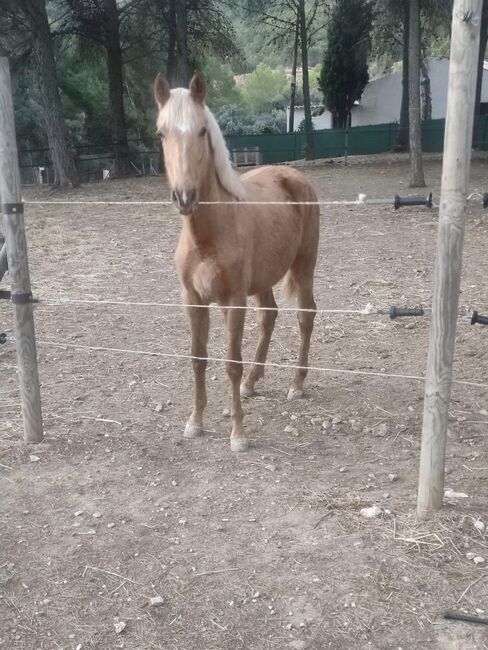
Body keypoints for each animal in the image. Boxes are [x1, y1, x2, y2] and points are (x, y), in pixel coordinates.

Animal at [153, 72, 320, 450]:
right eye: (161, 132)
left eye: (202, 130)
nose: (184, 196)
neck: (208, 236)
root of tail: (296, 177)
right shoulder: (193, 300)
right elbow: (198, 358)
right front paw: (195, 422)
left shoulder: (234, 301)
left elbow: (231, 362)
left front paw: (238, 434)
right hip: (264, 279)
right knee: (269, 316)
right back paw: (252, 383)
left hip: (304, 266)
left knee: (305, 316)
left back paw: (296, 385)